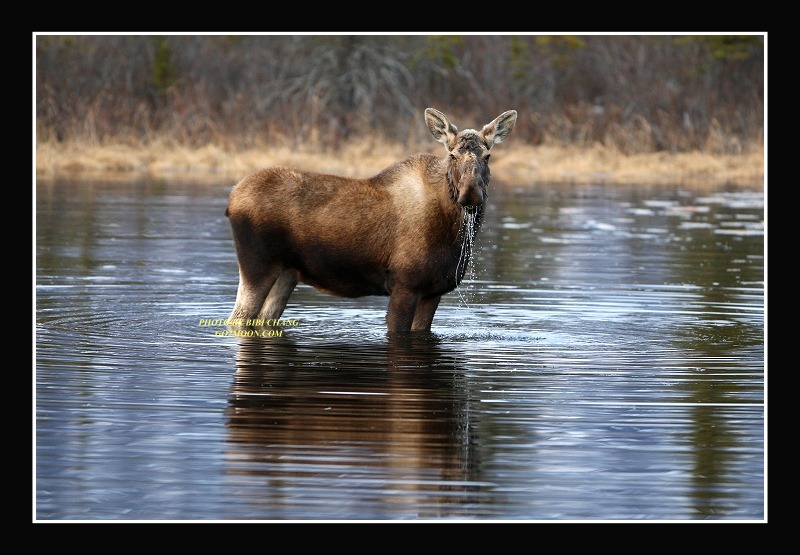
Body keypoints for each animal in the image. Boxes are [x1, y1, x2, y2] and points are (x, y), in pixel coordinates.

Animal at [225, 109, 520, 334]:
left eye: (488, 156)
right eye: (452, 155)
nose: (470, 193)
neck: (454, 234)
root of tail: (232, 199)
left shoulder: (432, 292)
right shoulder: (404, 285)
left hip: (287, 273)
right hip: (257, 265)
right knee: (237, 319)